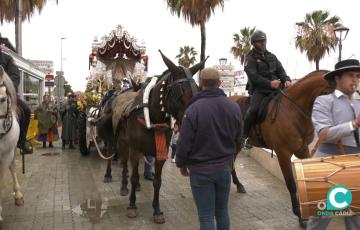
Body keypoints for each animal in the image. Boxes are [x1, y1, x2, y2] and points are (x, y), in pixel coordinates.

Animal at [231, 70, 334, 226]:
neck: (293, 110)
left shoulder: (303, 150)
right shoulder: (283, 153)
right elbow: (291, 184)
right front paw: (300, 216)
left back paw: (238, 184)